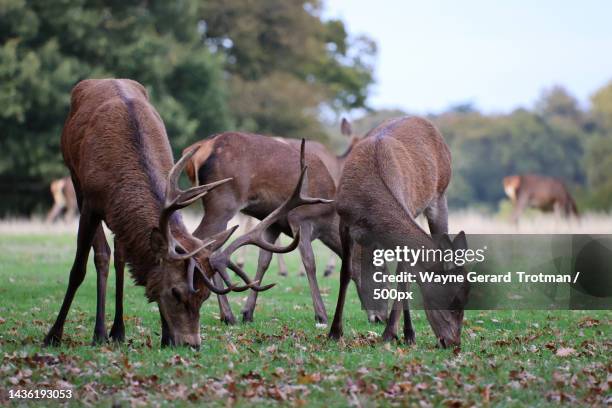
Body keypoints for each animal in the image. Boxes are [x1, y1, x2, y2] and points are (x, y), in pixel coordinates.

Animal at [43, 79, 314, 348]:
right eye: (176, 292)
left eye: (204, 296)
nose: (192, 343)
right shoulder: (90, 201)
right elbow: (80, 268)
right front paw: (54, 335)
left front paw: (165, 336)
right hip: (74, 180)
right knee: (103, 255)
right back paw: (100, 332)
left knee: (120, 254)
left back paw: (118, 330)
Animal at [184, 131, 380, 326]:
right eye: (378, 271)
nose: (379, 318)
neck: (327, 217)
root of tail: (201, 149)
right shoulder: (300, 218)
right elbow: (310, 262)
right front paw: (321, 315)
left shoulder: (273, 225)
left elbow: (264, 261)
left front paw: (248, 312)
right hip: (222, 202)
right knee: (201, 242)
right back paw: (224, 313)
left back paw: (225, 314)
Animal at [330, 116, 468, 350]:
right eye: (454, 301)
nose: (453, 342)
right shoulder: (344, 221)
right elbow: (345, 273)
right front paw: (334, 332)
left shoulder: (409, 209)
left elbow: (403, 276)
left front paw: (391, 334)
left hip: (440, 195)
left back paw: (407, 333)